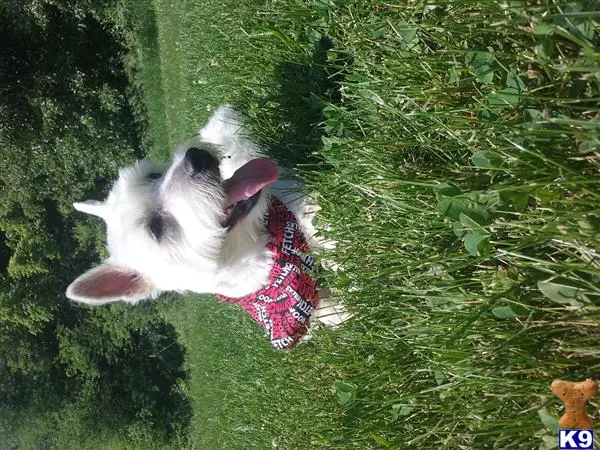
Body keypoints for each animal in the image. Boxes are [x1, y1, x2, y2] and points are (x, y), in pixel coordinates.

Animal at [67, 104, 346, 348]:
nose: (196, 158)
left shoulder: (292, 198)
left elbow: (315, 217)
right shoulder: (297, 317)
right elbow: (329, 314)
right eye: (157, 227)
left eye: (152, 176)